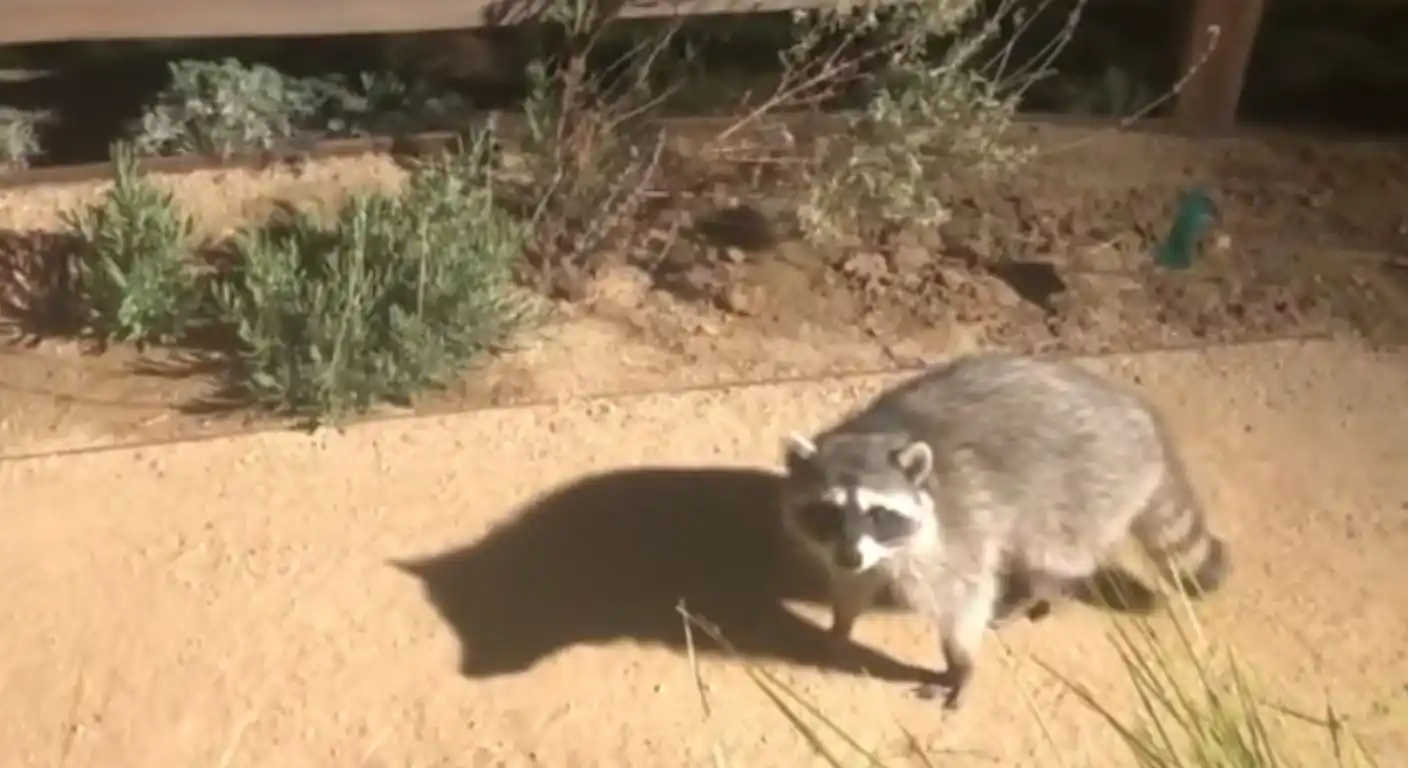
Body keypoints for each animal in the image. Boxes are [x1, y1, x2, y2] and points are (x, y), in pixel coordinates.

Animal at [779, 352, 1229, 710]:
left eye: (878, 513)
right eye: (829, 511)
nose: (849, 556)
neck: (874, 432)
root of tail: (1143, 419)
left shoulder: (953, 531)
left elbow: (963, 599)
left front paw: (960, 664)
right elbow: (852, 584)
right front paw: (840, 623)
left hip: (1084, 489)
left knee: (1053, 551)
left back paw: (1045, 588)